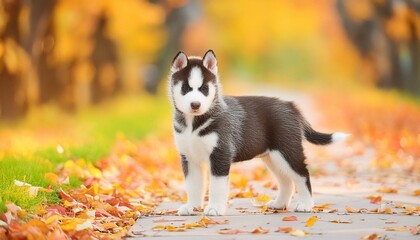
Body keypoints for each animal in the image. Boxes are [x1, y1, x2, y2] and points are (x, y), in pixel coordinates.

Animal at [167, 50, 348, 216]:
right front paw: (192, 207)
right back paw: (279, 204)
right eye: (185, 88)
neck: (192, 124)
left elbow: (216, 186)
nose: (195, 105)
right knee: (286, 181)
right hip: (272, 157)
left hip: (288, 151)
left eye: (204, 89)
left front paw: (214, 208)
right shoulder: (189, 158)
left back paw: (305, 205)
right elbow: (193, 186)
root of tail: (290, 105)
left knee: (302, 175)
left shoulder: (220, 154)